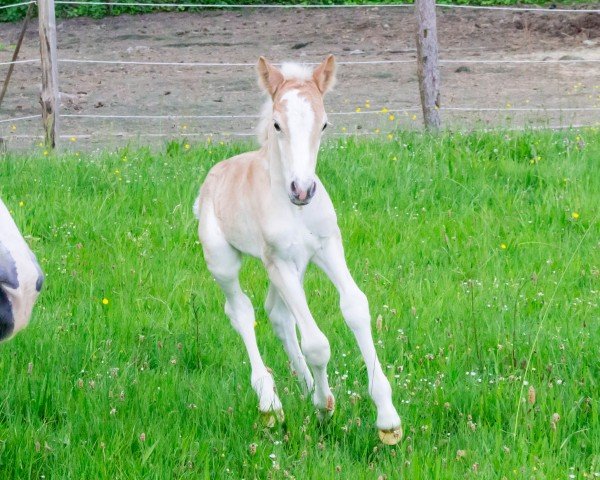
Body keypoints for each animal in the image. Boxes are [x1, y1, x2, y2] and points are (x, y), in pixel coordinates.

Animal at [197, 55, 400, 442]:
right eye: (277, 124)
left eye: (324, 124)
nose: (302, 190)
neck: (295, 210)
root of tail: (213, 176)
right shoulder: (278, 262)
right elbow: (317, 343)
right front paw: (324, 407)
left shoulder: (326, 248)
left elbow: (355, 307)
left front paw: (387, 420)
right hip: (225, 262)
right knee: (241, 312)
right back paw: (270, 403)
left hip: (297, 266)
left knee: (277, 315)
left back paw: (306, 388)